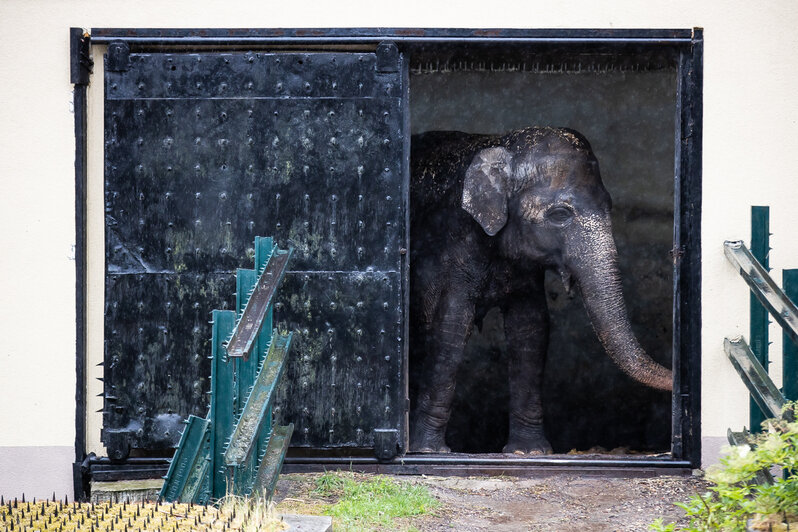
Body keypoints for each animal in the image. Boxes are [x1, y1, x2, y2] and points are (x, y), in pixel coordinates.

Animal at [412, 125, 676, 454]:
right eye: (560, 215)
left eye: (610, 206)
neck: (501, 142)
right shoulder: (452, 248)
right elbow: (450, 327)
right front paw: (428, 451)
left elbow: (531, 328)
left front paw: (529, 451)